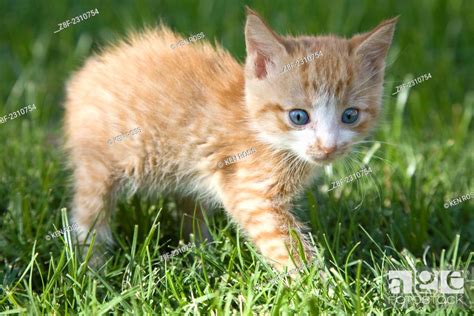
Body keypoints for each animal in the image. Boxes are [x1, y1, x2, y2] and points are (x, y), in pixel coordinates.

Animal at [63, 6, 396, 270]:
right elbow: (284, 244)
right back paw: (92, 269)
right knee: (89, 214)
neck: (266, 136)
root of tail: (89, 71)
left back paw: (201, 252)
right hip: (100, 162)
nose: (328, 148)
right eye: (298, 117)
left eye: (350, 115)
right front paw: (316, 286)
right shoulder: (251, 192)